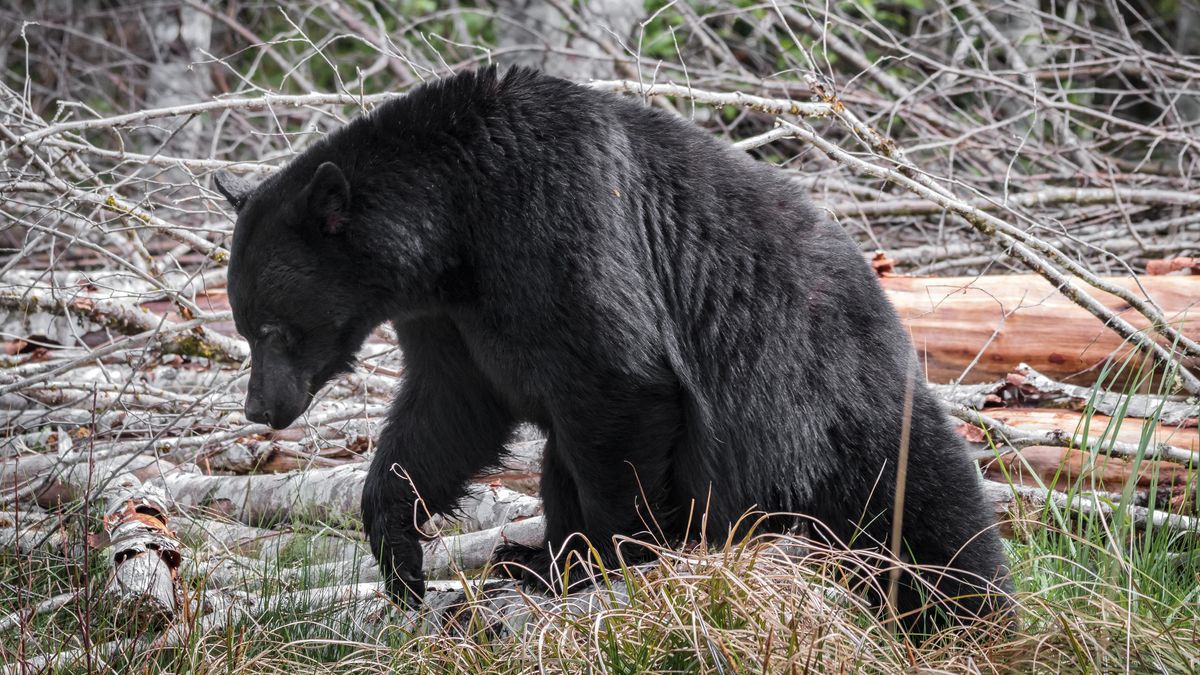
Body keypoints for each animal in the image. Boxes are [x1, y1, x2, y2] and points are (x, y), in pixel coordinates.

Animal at [218, 65, 1012, 629]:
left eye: (273, 328)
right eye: (245, 323)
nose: (259, 409)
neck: (455, 226)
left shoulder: (558, 227)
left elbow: (619, 385)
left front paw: (608, 562)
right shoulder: (449, 322)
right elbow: (448, 414)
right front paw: (401, 557)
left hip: (842, 417)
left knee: (939, 529)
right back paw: (523, 556)